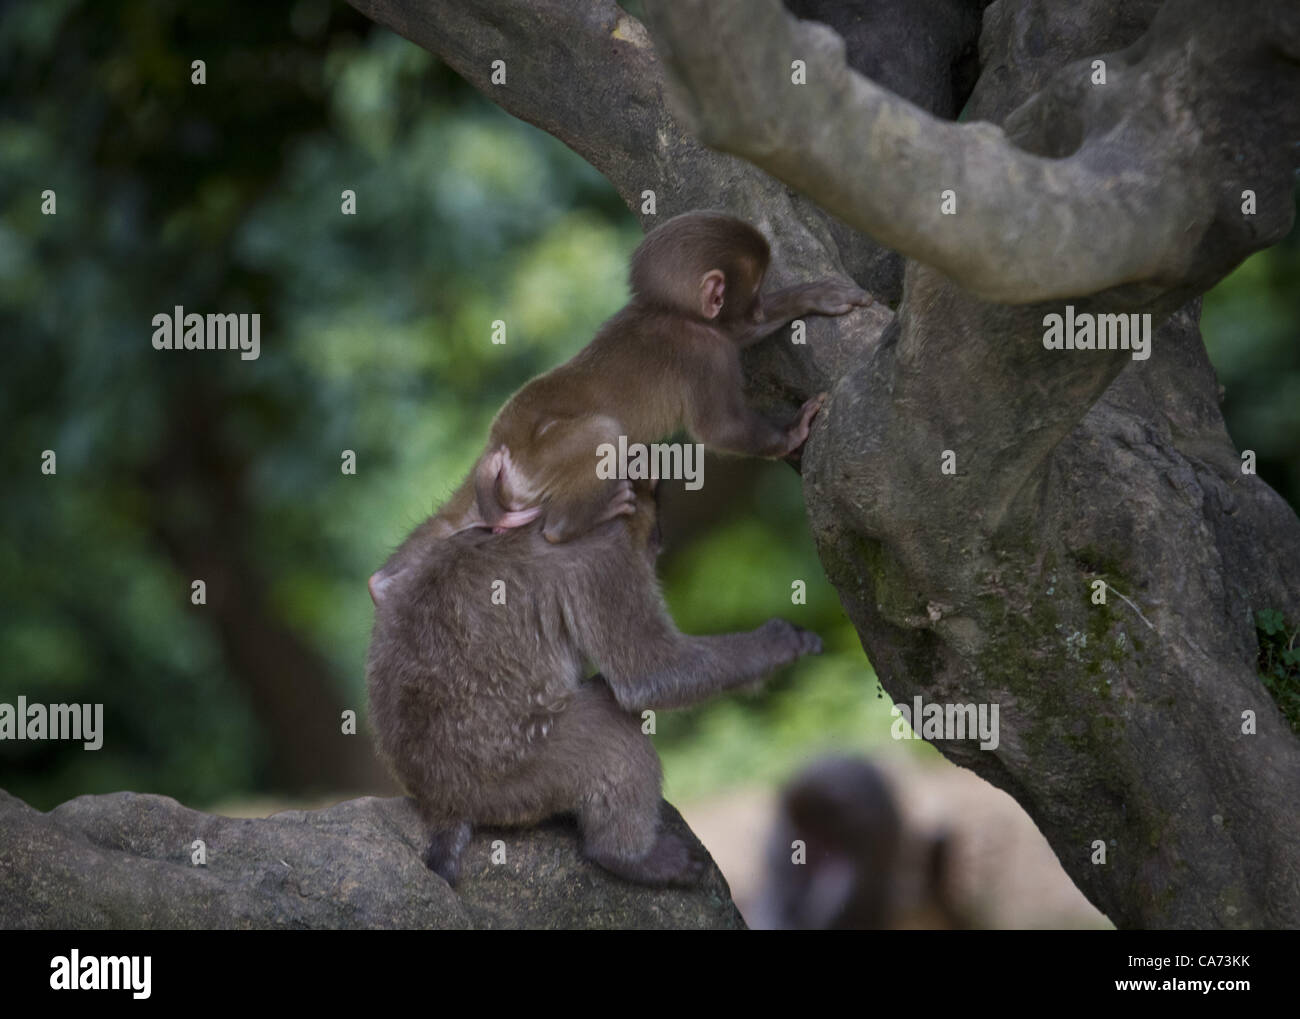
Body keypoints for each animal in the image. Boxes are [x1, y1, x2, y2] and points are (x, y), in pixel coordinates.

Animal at [365, 481, 824, 887]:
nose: (659, 539)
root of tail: (439, 801)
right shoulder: (604, 555)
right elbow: (648, 675)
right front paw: (777, 644)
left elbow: (389, 581)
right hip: (511, 779)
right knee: (609, 726)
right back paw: (627, 857)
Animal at [410, 210, 870, 553]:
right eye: (754, 289)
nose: (758, 306)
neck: (667, 311)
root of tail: (499, 446)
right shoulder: (705, 353)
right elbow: (719, 429)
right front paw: (793, 431)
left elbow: (740, 333)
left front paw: (813, 296)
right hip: (542, 462)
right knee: (601, 435)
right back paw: (574, 521)